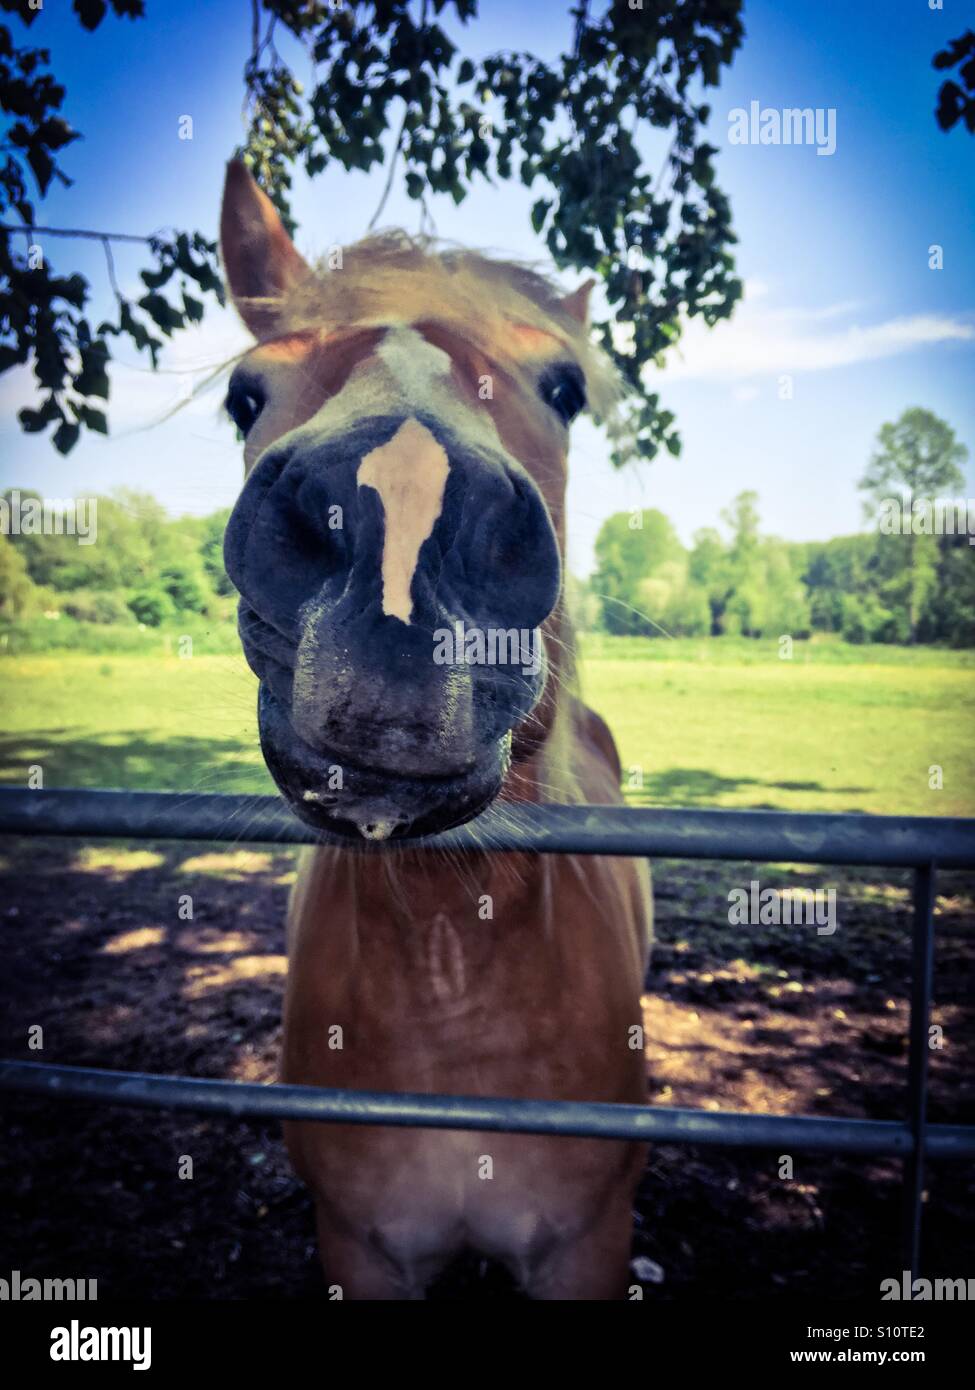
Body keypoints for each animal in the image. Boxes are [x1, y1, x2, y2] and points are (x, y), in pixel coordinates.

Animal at [219, 159, 653, 1299]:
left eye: (565, 388)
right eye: (245, 395)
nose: (397, 526)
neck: (449, 958)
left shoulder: (586, 1248)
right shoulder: (361, 1247)